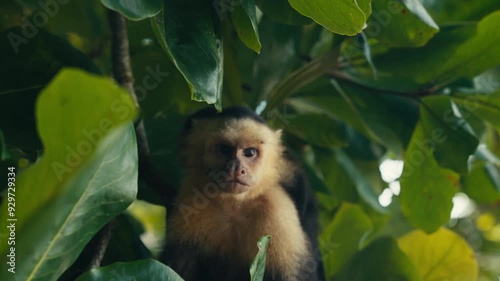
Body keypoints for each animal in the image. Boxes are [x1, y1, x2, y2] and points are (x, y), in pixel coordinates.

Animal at [160, 105, 324, 280]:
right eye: (225, 149)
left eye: (250, 152)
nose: (236, 169)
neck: (236, 204)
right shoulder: (191, 200)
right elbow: (178, 266)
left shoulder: (277, 207)